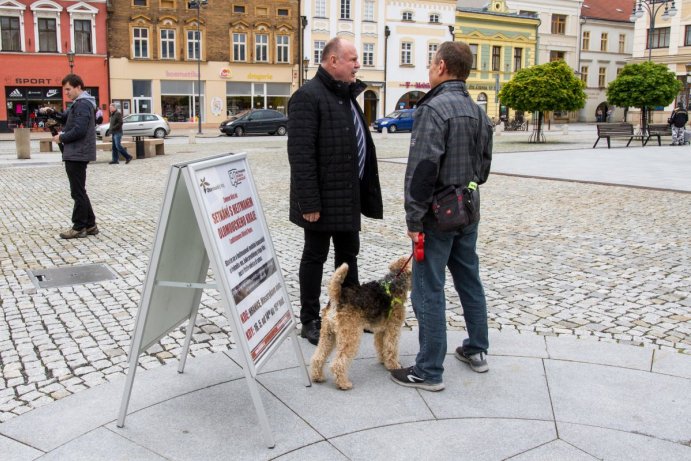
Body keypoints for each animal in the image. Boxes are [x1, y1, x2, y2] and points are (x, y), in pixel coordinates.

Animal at [310, 255, 414, 388]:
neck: (394, 283)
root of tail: (337, 298)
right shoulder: (393, 328)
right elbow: (391, 348)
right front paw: (393, 365)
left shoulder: (381, 330)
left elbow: (381, 346)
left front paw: (383, 360)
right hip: (350, 336)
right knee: (338, 363)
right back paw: (344, 383)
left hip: (327, 335)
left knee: (318, 357)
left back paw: (317, 377)